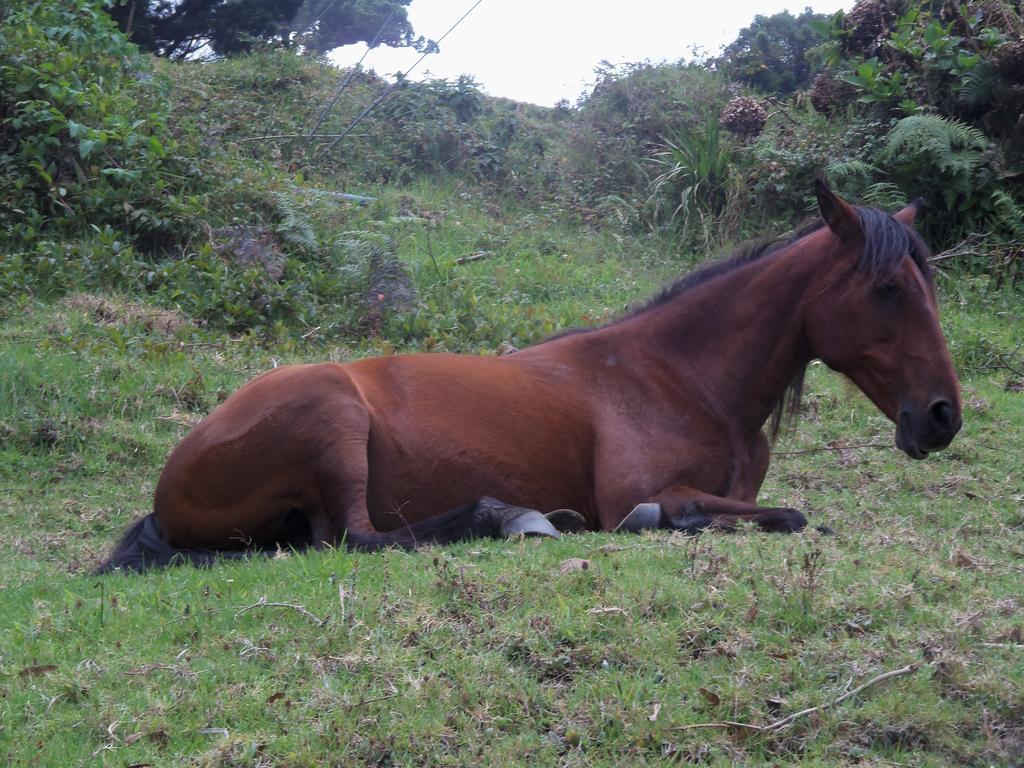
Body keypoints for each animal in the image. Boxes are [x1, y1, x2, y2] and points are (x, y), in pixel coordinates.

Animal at [96, 182, 958, 573]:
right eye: (889, 289)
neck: (680, 376)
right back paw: (513, 517)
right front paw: (660, 522)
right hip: (331, 417)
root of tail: (169, 492)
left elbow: (771, 512)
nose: (943, 416)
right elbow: (777, 515)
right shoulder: (640, 489)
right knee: (360, 538)